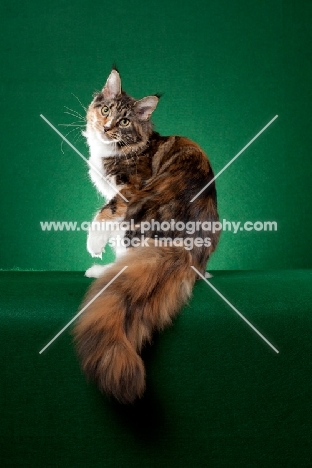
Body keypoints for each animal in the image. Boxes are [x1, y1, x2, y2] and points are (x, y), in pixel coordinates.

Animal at [73, 68, 219, 402]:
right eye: (106, 110)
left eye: (125, 121)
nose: (107, 126)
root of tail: (187, 248)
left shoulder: (128, 190)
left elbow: (104, 215)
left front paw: (93, 243)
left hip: (138, 217)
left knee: (126, 252)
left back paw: (104, 270)